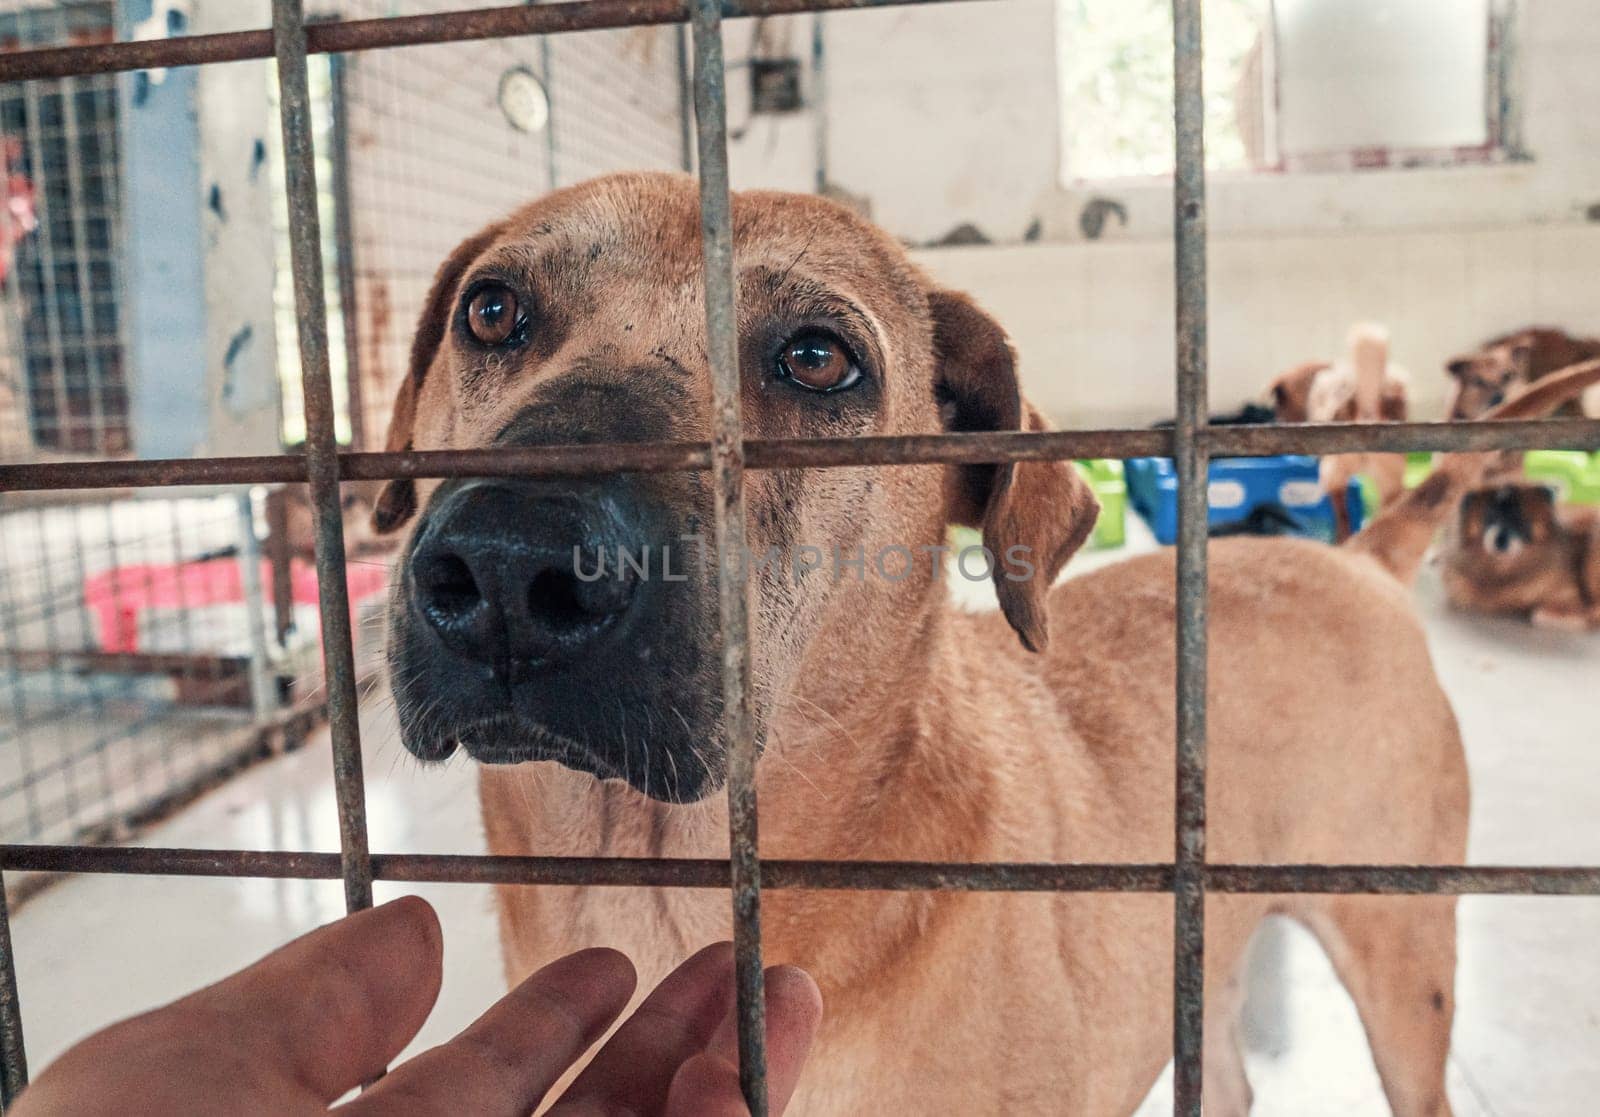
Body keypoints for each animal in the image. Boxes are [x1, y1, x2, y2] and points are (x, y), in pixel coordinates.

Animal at [1267, 321, 1408, 540]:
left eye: (1278, 407)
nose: (1275, 420)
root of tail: (1367, 411)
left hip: (1334, 474)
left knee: (1342, 515)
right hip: (1389, 480)